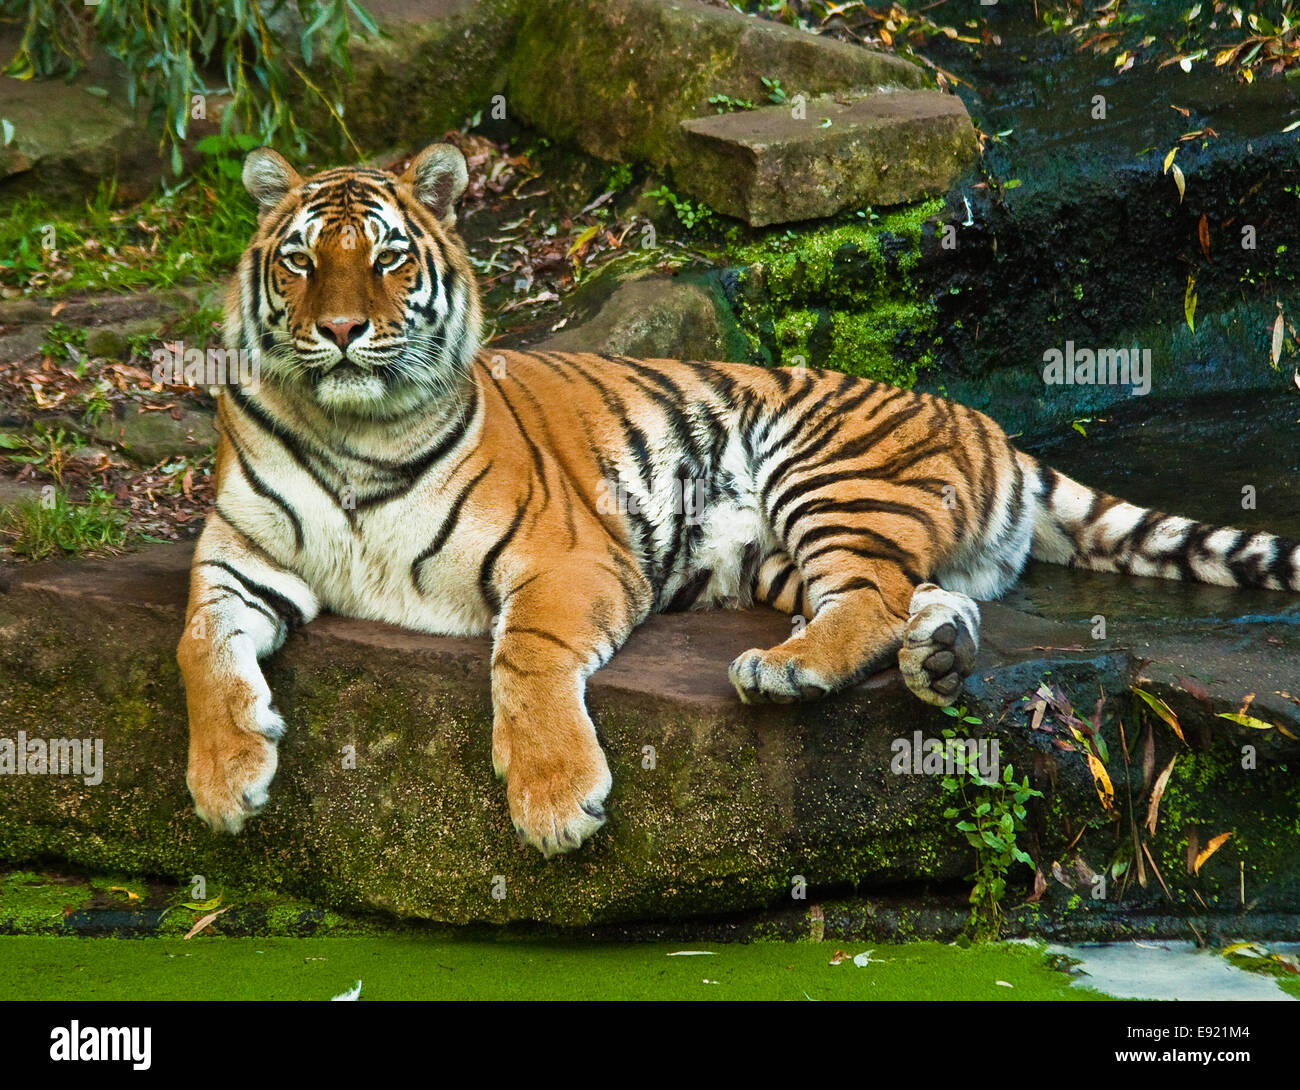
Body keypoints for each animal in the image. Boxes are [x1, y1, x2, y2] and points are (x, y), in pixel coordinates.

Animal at [180, 145, 1300, 858]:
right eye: (299, 260)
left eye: (387, 258)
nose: (338, 331)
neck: (354, 433)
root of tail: (989, 424)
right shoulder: (237, 555)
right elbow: (200, 649)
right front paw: (226, 781)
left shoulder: (571, 557)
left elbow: (526, 659)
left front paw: (553, 801)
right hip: (774, 555)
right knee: (915, 596)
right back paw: (937, 656)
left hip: (826, 471)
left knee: (868, 597)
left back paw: (790, 670)